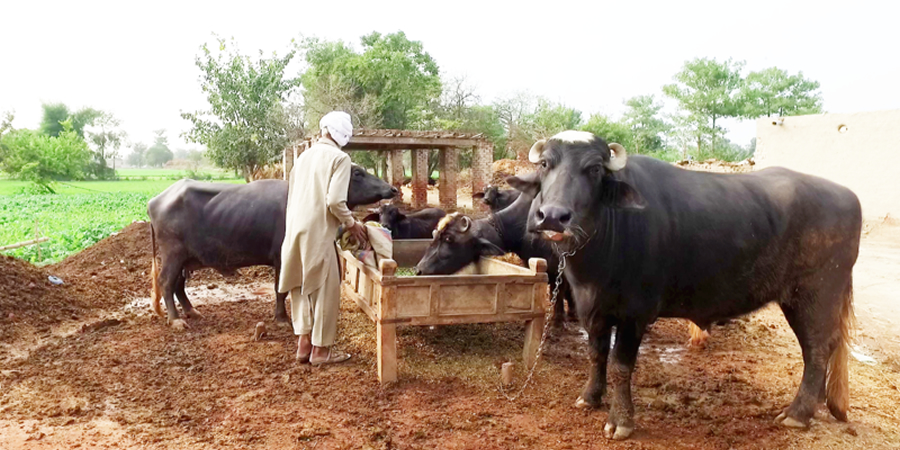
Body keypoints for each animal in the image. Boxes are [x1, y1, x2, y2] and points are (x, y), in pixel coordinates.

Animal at [148, 165, 397, 330]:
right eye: (357, 173)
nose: (392, 189)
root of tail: (154, 201)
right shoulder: (282, 258)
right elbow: (280, 289)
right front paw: (282, 318)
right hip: (173, 254)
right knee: (166, 282)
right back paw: (176, 319)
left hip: (186, 259)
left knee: (178, 284)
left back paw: (191, 311)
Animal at [415, 189, 578, 326]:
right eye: (435, 234)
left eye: (449, 238)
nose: (419, 270)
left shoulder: (559, 265)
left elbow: (559, 291)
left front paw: (558, 319)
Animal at [510, 130, 860, 440]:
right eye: (546, 164)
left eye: (594, 169)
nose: (553, 216)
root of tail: (849, 197)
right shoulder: (591, 309)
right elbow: (596, 354)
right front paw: (591, 397)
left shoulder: (634, 315)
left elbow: (621, 364)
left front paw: (620, 421)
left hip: (815, 295)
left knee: (817, 349)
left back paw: (798, 413)